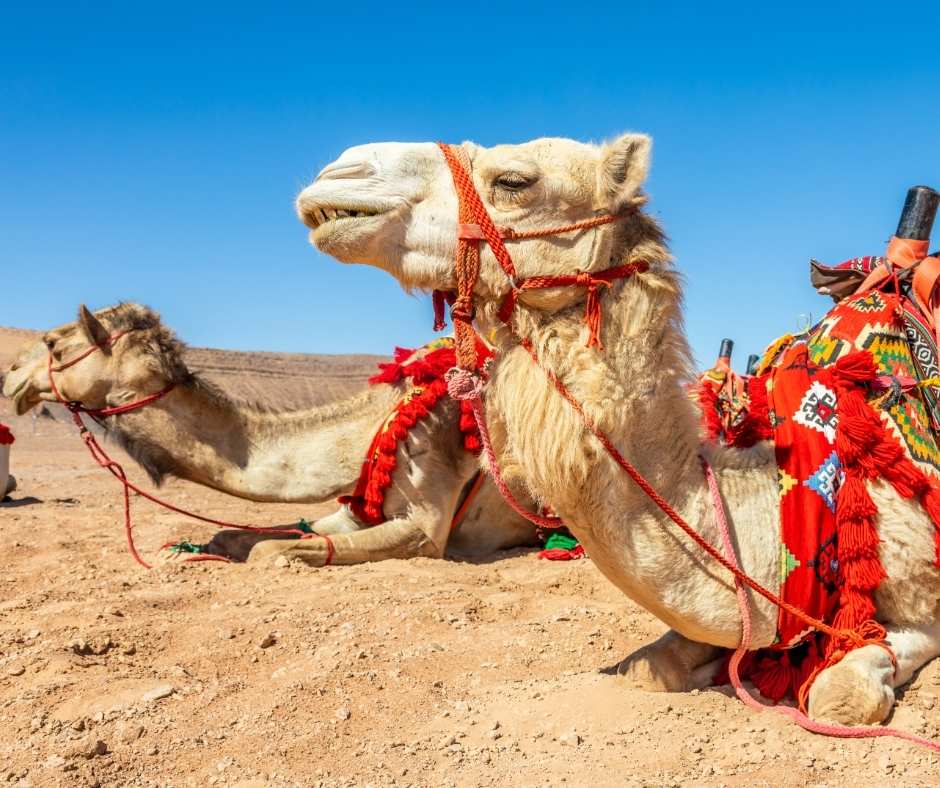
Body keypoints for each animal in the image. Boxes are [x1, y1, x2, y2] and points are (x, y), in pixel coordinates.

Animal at [1, 303, 538, 562]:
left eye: (52, 344)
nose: (10, 376)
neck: (376, 422)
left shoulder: (426, 527)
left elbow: (268, 551)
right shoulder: (356, 510)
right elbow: (244, 535)